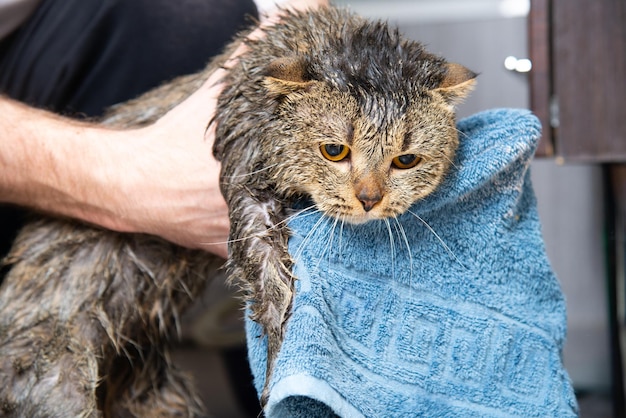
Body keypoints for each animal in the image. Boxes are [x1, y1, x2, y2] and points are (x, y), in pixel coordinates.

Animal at [0, 4, 472, 416]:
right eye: (334, 150)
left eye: (406, 160)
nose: (370, 199)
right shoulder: (245, 176)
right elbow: (268, 276)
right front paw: (277, 368)